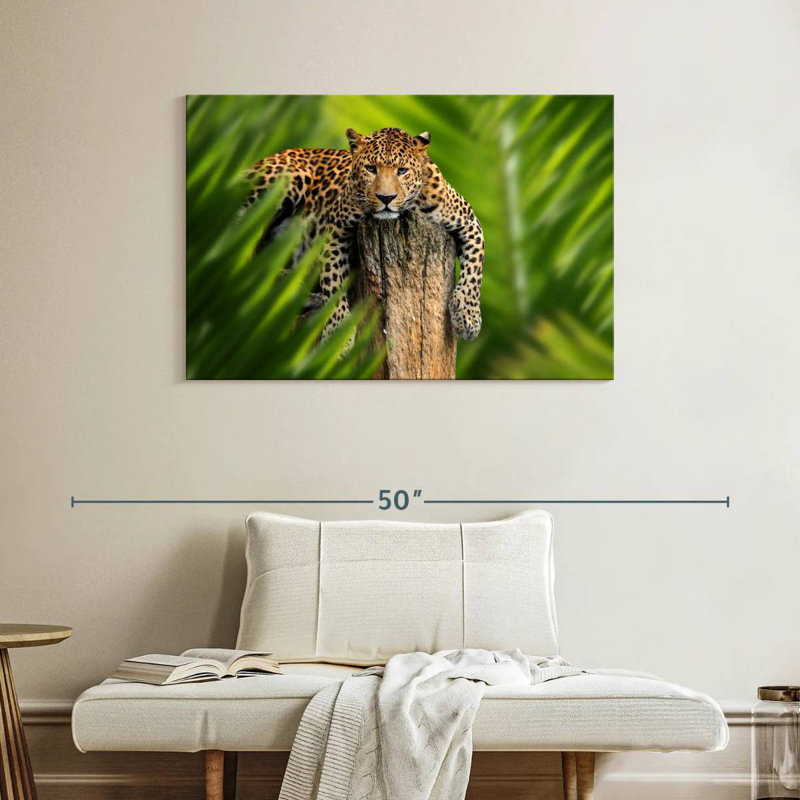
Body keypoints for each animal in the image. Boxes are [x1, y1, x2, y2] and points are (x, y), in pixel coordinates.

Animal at [241, 127, 484, 341]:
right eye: (370, 168)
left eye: (402, 171)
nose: (386, 198)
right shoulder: (334, 228)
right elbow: (333, 281)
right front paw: (338, 335)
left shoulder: (469, 221)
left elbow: (475, 270)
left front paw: (468, 317)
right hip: (284, 180)